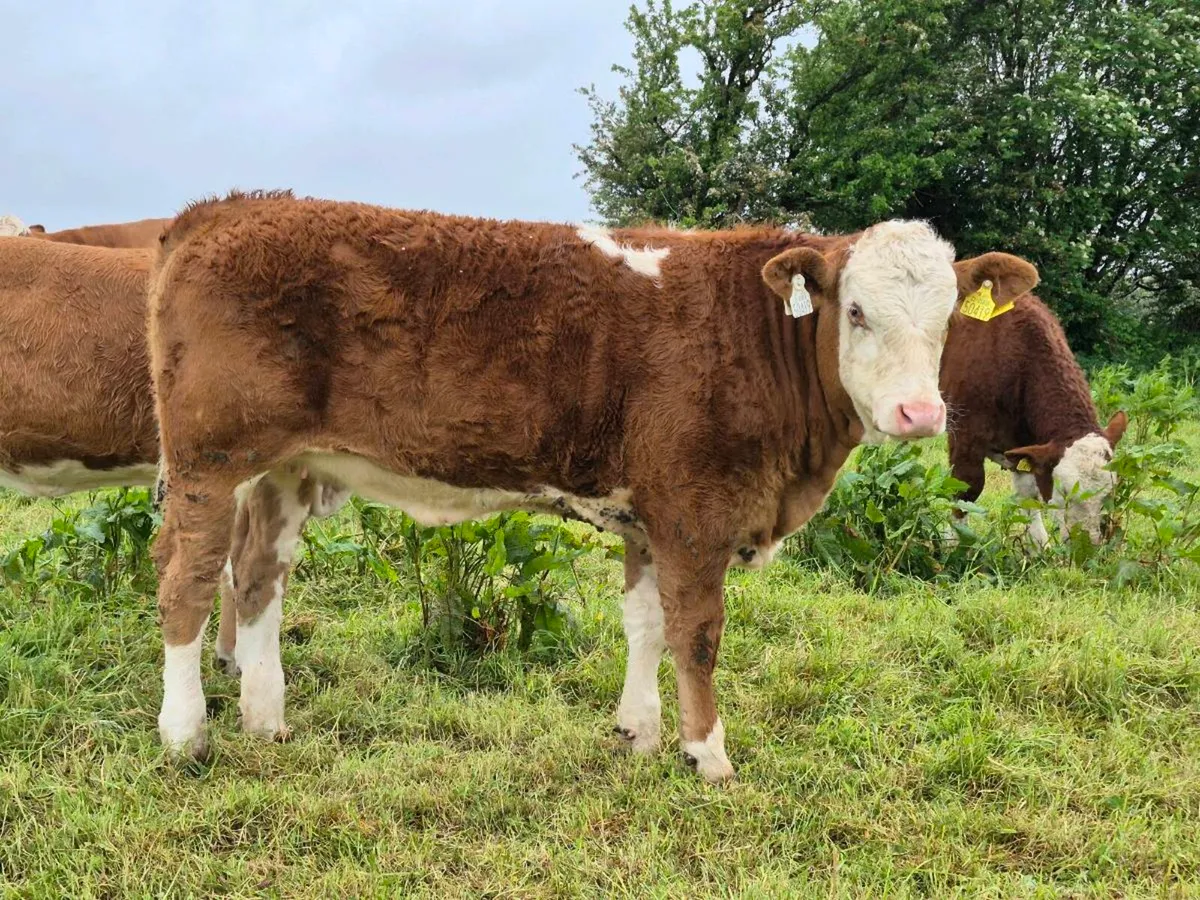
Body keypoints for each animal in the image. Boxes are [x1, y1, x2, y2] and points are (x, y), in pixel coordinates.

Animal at [146, 190, 1038, 781]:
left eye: (949, 319)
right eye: (854, 312)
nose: (920, 413)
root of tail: (220, 209)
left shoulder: (650, 511)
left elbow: (644, 625)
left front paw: (638, 732)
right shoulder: (695, 508)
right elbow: (697, 632)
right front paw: (708, 752)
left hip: (285, 466)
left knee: (257, 579)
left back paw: (265, 719)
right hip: (206, 460)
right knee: (186, 582)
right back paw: (186, 734)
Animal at [940, 293, 1127, 545]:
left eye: (1110, 492)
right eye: (1065, 491)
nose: (1087, 546)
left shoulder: (1026, 446)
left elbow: (1029, 497)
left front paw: (1038, 546)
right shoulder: (965, 435)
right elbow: (965, 490)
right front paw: (952, 546)